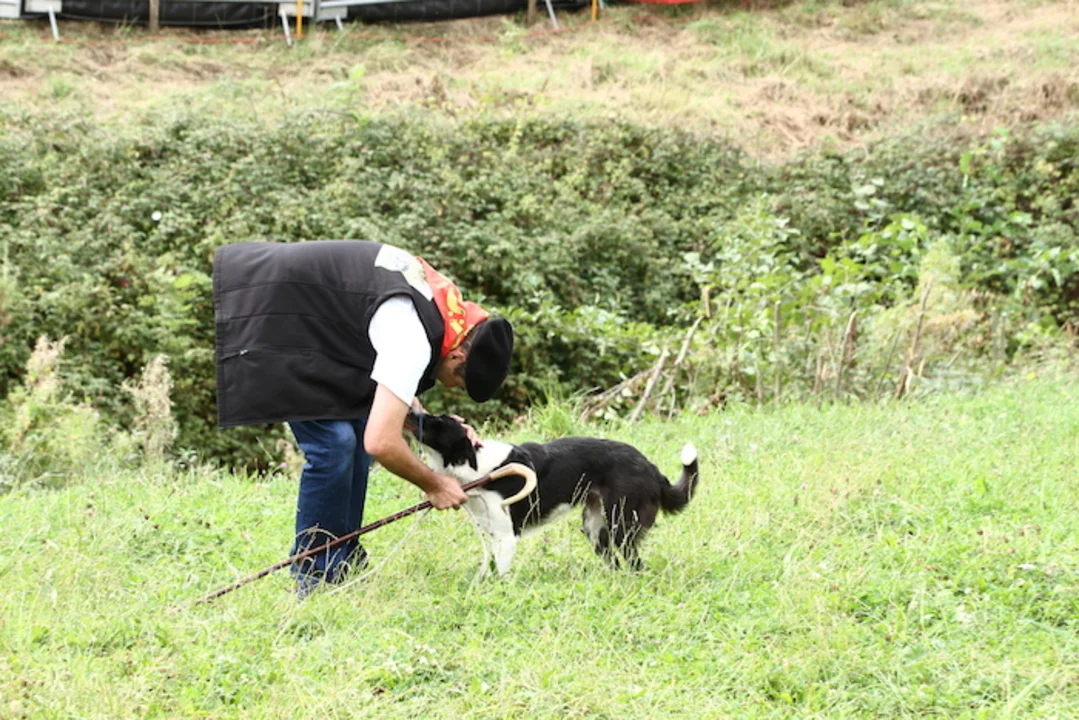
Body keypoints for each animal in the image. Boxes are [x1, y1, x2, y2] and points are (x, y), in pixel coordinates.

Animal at [405, 410, 700, 576]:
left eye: (436, 421)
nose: (406, 409)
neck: (473, 462)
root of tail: (650, 466)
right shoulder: (491, 533)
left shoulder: (506, 536)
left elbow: (499, 576)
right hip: (595, 528)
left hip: (621, 524)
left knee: (635, 563)